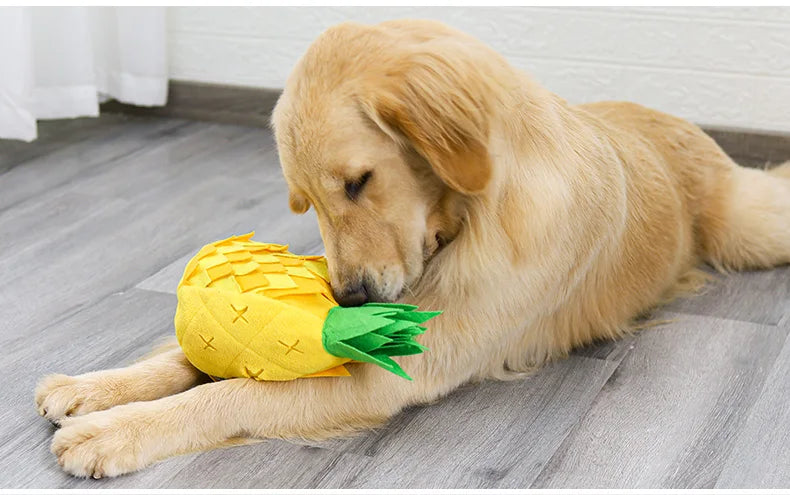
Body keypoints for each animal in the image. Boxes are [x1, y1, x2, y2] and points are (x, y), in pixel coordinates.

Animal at [32, 20, 790, 480]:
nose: (348, 297)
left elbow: (232, 394)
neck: (469, 215)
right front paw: (96, 388)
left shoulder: (392, 370)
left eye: (359, 181)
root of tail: (660, 111)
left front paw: (112, 431)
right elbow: (184, 357)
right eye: (305, 201)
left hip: (747, 227)